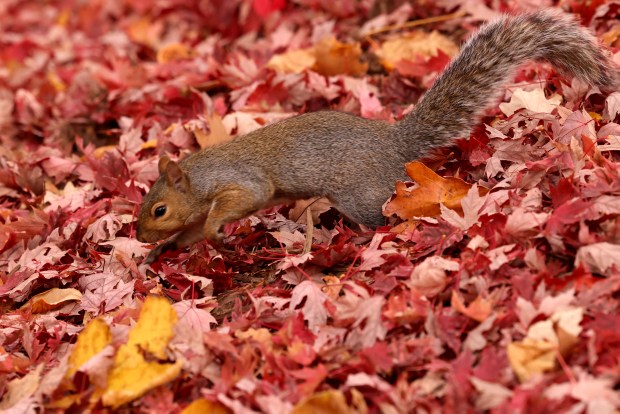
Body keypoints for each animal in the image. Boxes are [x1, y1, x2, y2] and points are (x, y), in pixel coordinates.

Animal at [137, 9, 620, 262]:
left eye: (159, 209)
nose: (140, 236)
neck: (200, 175)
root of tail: (395, 143)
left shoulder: (241, 182)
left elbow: (242, 201)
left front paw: (214, 230)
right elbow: (191, 234)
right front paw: (162, 251)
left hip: (359, 194)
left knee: (382, 217)